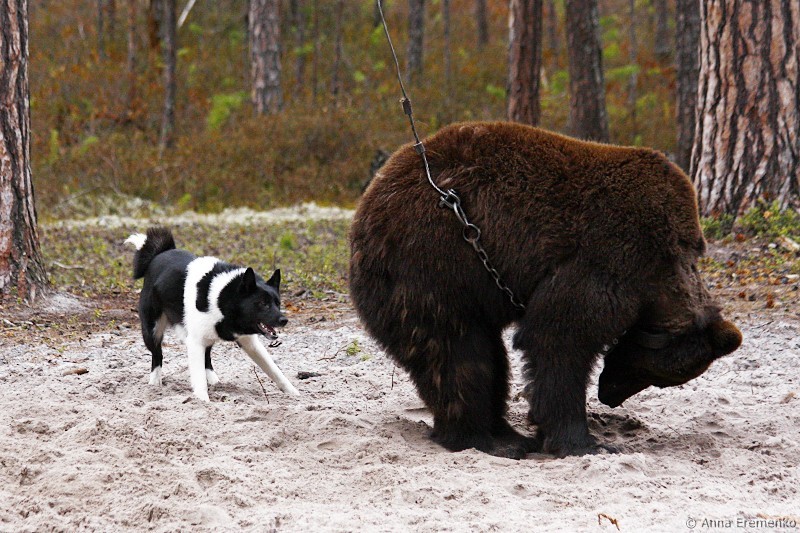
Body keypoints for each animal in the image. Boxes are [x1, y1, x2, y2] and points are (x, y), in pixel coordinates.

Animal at [125, 227, 299, 401]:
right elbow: (199, 380)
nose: (284, 320)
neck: (224, 299)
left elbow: (275, 370)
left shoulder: (250, 343)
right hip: (152, 330)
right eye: (263, 304)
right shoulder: (195, 342)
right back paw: (154, 384)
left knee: (206, 358)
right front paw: (203, 402)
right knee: (157, 355)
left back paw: (215, 381)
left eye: (278, 303)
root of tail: (159, 254)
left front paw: (294, 393)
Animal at [349, 121, 742, 458]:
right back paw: (485, 439)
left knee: (486, 355)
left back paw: (504, 433)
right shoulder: (607, 259)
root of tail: (367, 205)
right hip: (432, 265)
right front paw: (583, 441)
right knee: (458, 354)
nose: (609, 395)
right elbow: (557, 339)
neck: (662, 272)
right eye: (656, 375)